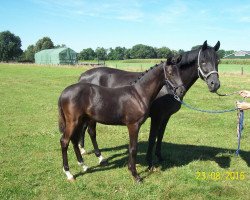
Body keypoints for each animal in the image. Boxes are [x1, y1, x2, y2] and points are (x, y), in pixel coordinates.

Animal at [57, 57, 185, 182]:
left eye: (180, 72)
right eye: (170, 73)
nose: (181, 91)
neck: (138, 95)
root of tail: (63, 93)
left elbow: (131, 147)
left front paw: (130, 169)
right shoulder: (133, 125)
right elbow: (133, 148)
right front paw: (135, 175)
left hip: (79, 121)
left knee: (74, 139)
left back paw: (83, 165)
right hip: (73, 121)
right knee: (64, 141)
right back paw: (69, 173)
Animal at [78, 40, 221, 169]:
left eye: (218, 61)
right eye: (203, 61)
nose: (215, 84)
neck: (166, 88)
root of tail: (83, 76)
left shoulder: (166, 116)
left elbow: (160, 136)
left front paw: (160, 157)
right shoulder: (156, 117)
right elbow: (153, 137)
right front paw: (149, 162)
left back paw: (82, 149)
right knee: (91, 132)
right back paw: (99, 157)